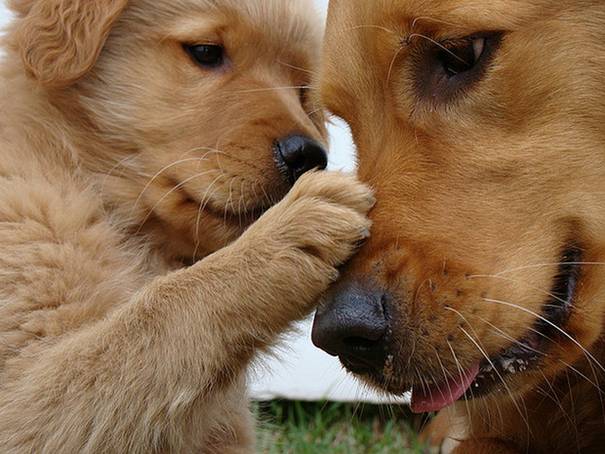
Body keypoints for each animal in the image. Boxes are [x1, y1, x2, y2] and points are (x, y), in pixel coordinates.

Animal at [0, 0, 372, 454]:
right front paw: (286, 235)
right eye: (206, 52)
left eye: (302, 89)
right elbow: (156, 315)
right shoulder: (19, 396)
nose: (309, 156)